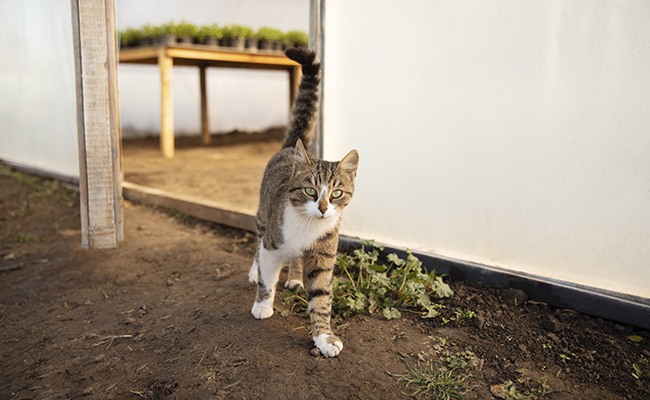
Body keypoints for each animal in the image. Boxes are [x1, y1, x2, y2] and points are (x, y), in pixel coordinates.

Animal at [248, 48, 360, 358]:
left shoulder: (323, 257)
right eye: (310, 190)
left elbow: (321, 298)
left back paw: (296, 277)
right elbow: (267, 277)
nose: (322, 208)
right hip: (263, 215)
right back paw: (253, 270)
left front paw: (324, 338)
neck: (306, 227)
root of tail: (290, 147)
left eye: (336, 194)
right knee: (257, 240)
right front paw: (262, 304)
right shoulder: (271, 247)